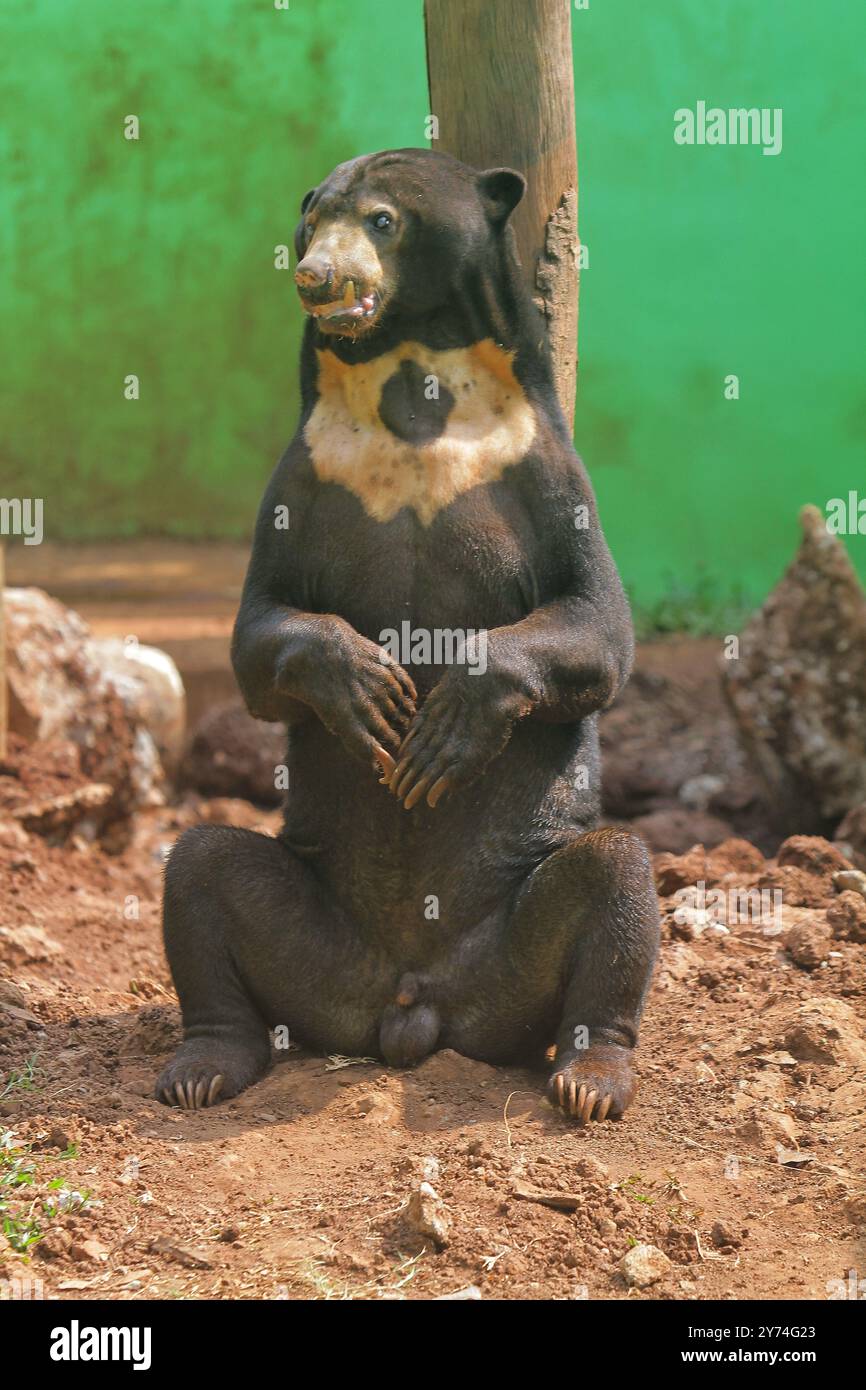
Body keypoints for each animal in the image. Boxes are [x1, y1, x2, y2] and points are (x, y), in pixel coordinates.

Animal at [156, 148, 660, 1124]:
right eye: (312, 220)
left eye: (382, 221)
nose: (315, 278)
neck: (409, 384)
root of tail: (408, 1006)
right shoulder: (308, 467)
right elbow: (259, 624)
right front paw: (369, 692)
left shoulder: (539, 461)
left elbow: (599, 620)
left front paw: (439, 731)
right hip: (311, 933)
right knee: (199, 872)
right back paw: (201, 1068)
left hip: (515, 935)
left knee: (615, 881)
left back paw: (590, 1081)